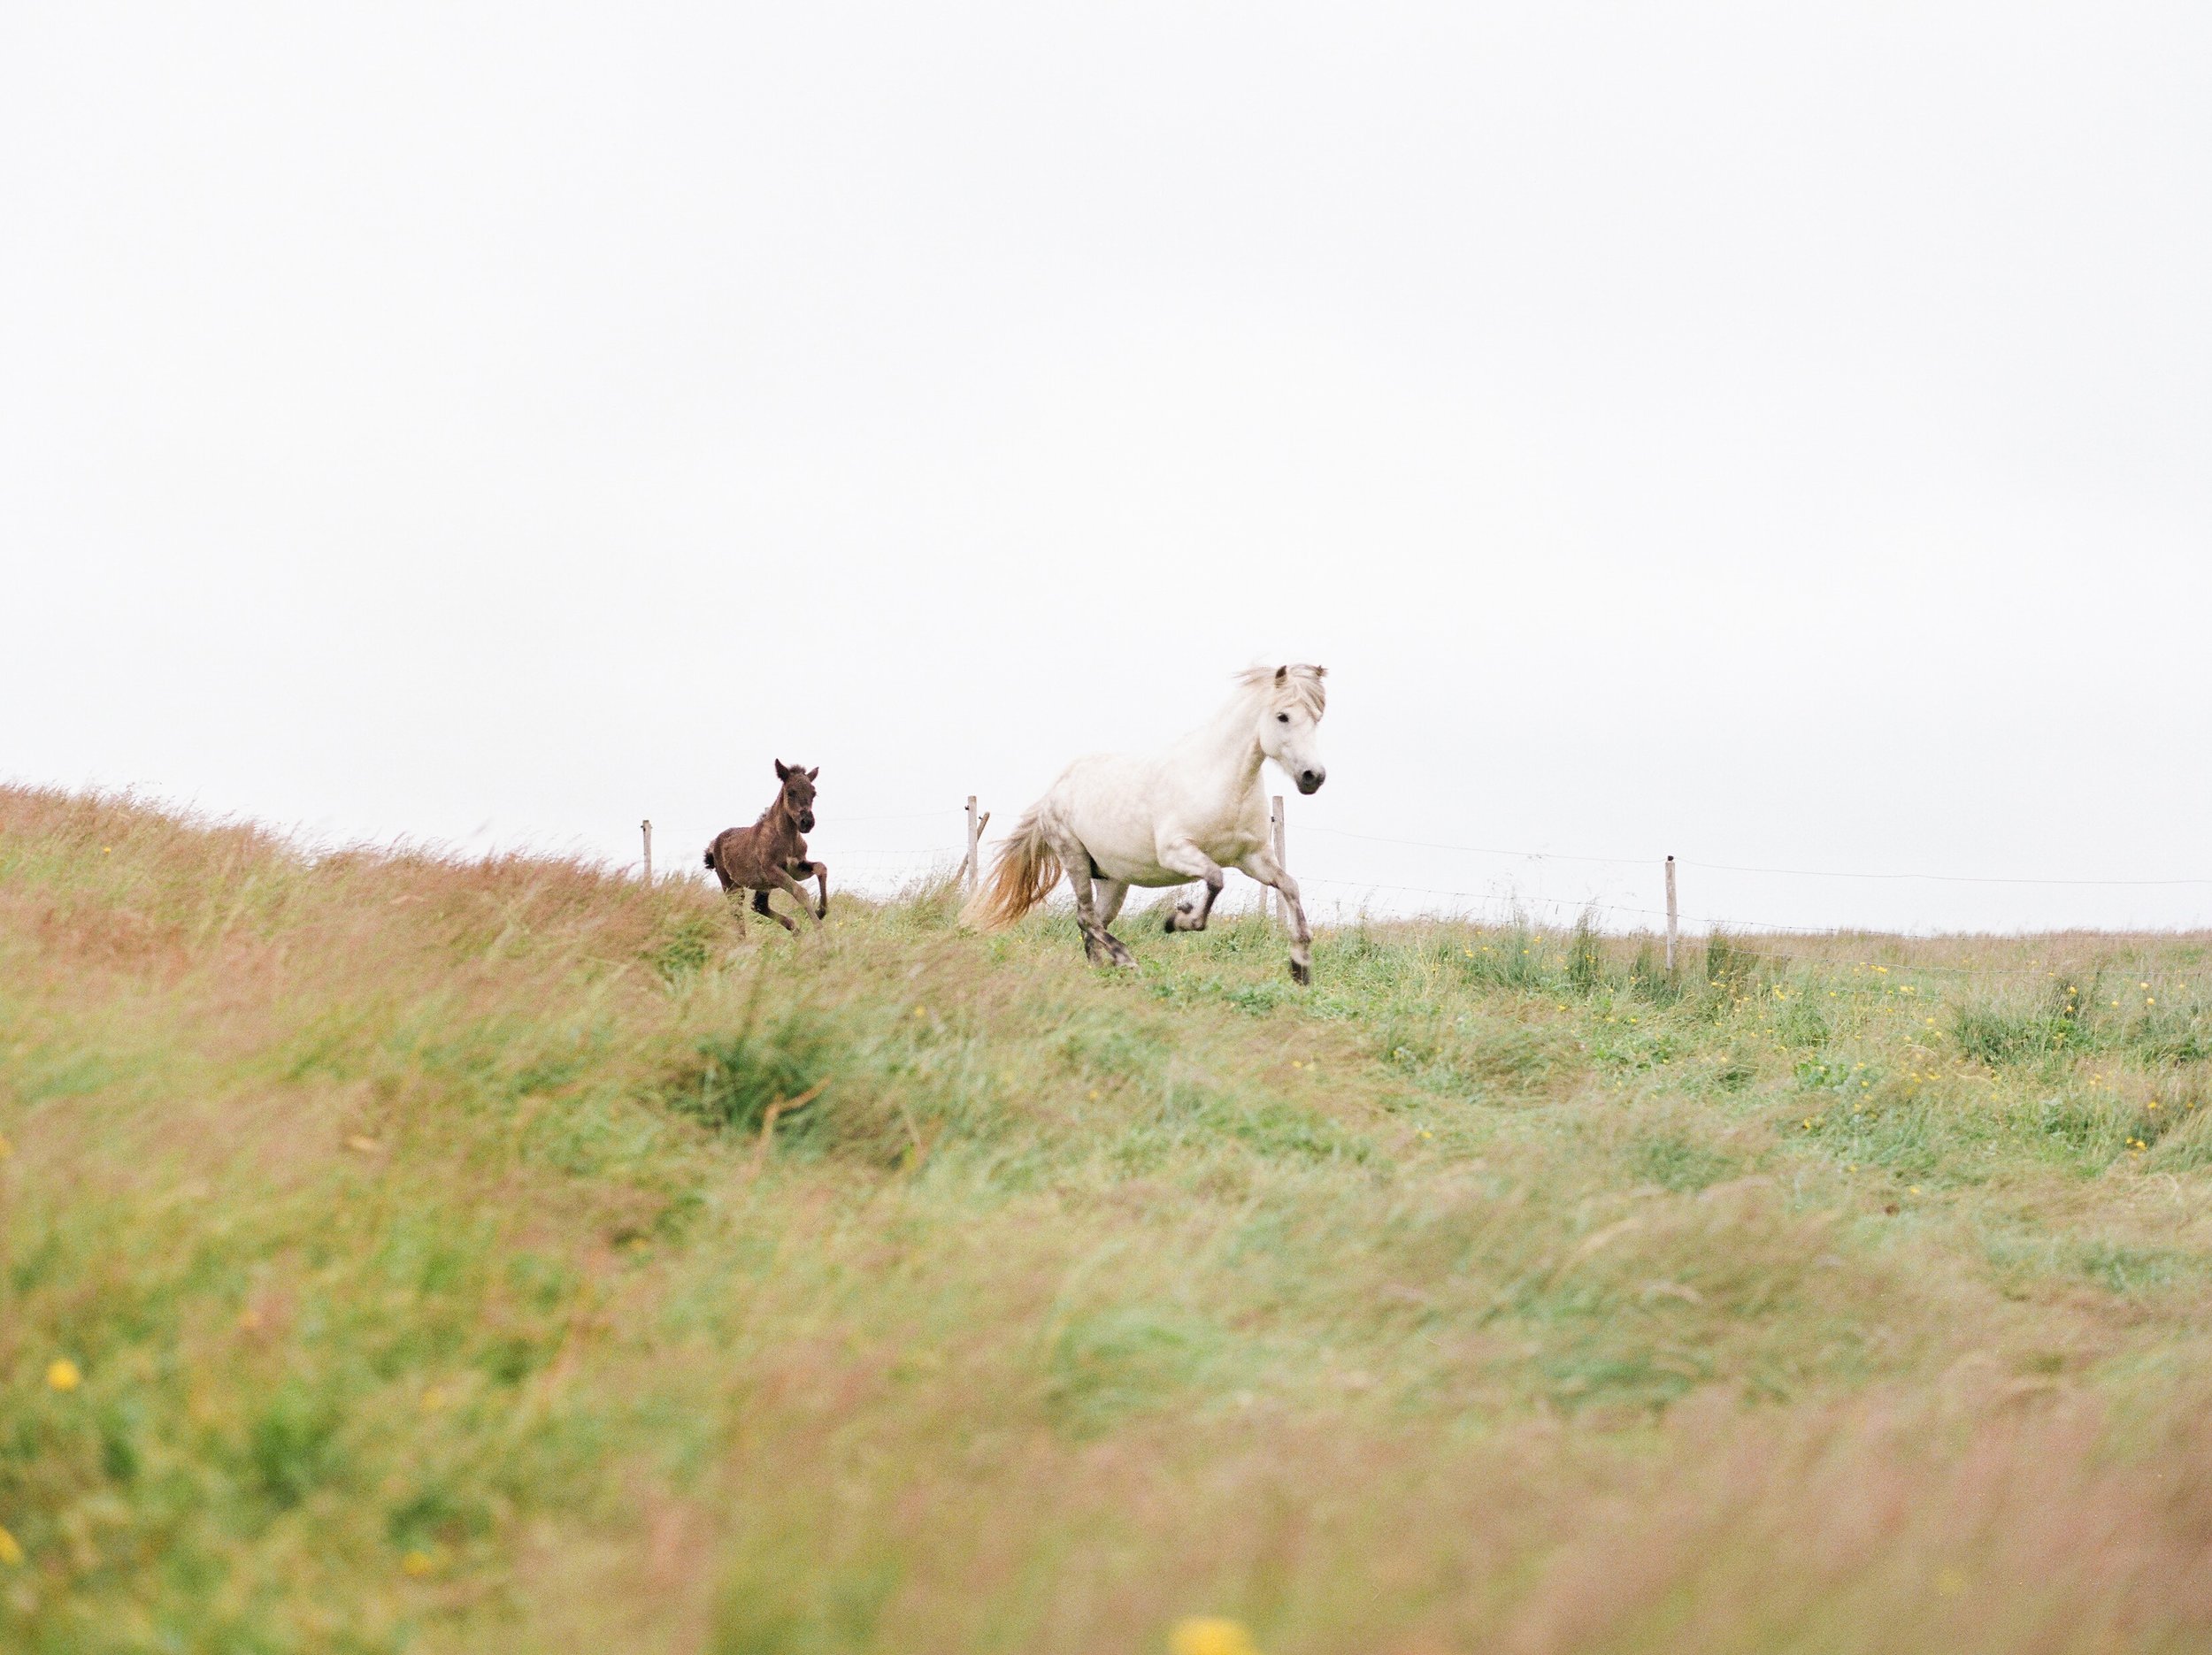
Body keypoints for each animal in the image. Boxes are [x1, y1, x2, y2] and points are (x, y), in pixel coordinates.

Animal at [699, 761, 832, 929]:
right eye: (790, 792)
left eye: (813, 793)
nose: (807, 822)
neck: (787, 839)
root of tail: (714, 845)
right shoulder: (772, 870)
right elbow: (800, 891)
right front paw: (820, 930)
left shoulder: (796, 868)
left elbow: (821, 867)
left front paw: (821, 912)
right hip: (730, 885)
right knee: (738, 912)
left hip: (763, 886)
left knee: (758, 905)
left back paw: (795, 930)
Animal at [960, 663, 1318, 977]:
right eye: (1283, 716)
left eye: (1316, 718)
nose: (1313, 777)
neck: (1221, 780)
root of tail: (1054, 792)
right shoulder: (1177, 852)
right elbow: (1216, 880)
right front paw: (1177, 920)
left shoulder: (1252, 857)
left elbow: (1290, 886)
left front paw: (1300, 965)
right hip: (1074, 858)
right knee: (1087, 917)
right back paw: (1125, 960)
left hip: (1112, 879)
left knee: (1092, 920)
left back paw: (1099, 971)